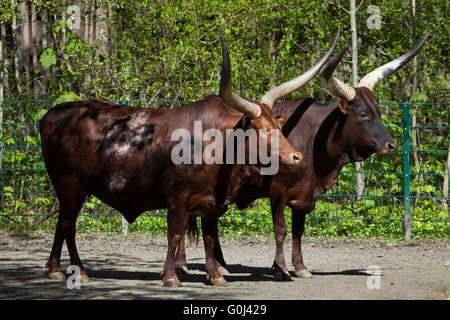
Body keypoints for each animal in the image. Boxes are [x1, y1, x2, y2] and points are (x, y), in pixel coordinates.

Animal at [40, 31, 340, 288]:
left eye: (279, 126)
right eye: (263, 130)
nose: (296, 156)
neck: (218, 145)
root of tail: (52, 115)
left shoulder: (211, 200)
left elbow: (209, 236)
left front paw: (215, 275)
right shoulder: (177, 195)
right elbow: (175, 232)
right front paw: (171, 276)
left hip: (69, 190)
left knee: (62, 223)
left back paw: (56, 269)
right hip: (69, 186)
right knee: (68, 225)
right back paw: (78, 270)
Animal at [184, 34, 428, 280]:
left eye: (378, 112)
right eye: (363, 114)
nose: (391, 145)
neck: (313, 143)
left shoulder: (304, 193)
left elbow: (298, 231)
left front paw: (300, 267)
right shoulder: (277, 190)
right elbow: (280, 229)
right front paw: (281, 268)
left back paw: (219, 265)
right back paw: (190, 265)